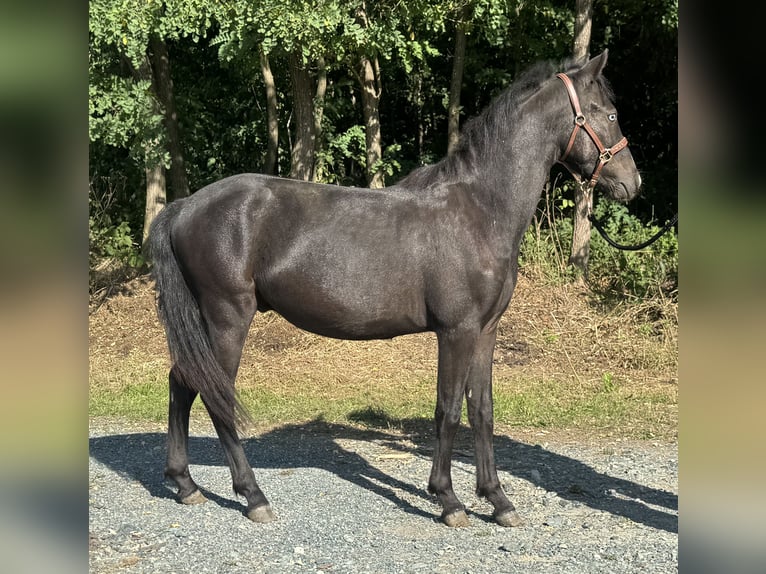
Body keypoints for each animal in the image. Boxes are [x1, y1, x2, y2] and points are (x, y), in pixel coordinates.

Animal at [147, 49, 641, 528]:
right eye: (609, 113)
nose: (632, 183)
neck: (479, 209)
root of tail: (185, 206)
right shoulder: (457, 332)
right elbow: (448, 410)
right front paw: (449, 501)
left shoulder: (485, 331)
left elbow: (482, 412)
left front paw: (499, 501)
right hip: (227, 317)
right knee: (215, 396)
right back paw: (253, 497)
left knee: (182, 383)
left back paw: (185, 484)